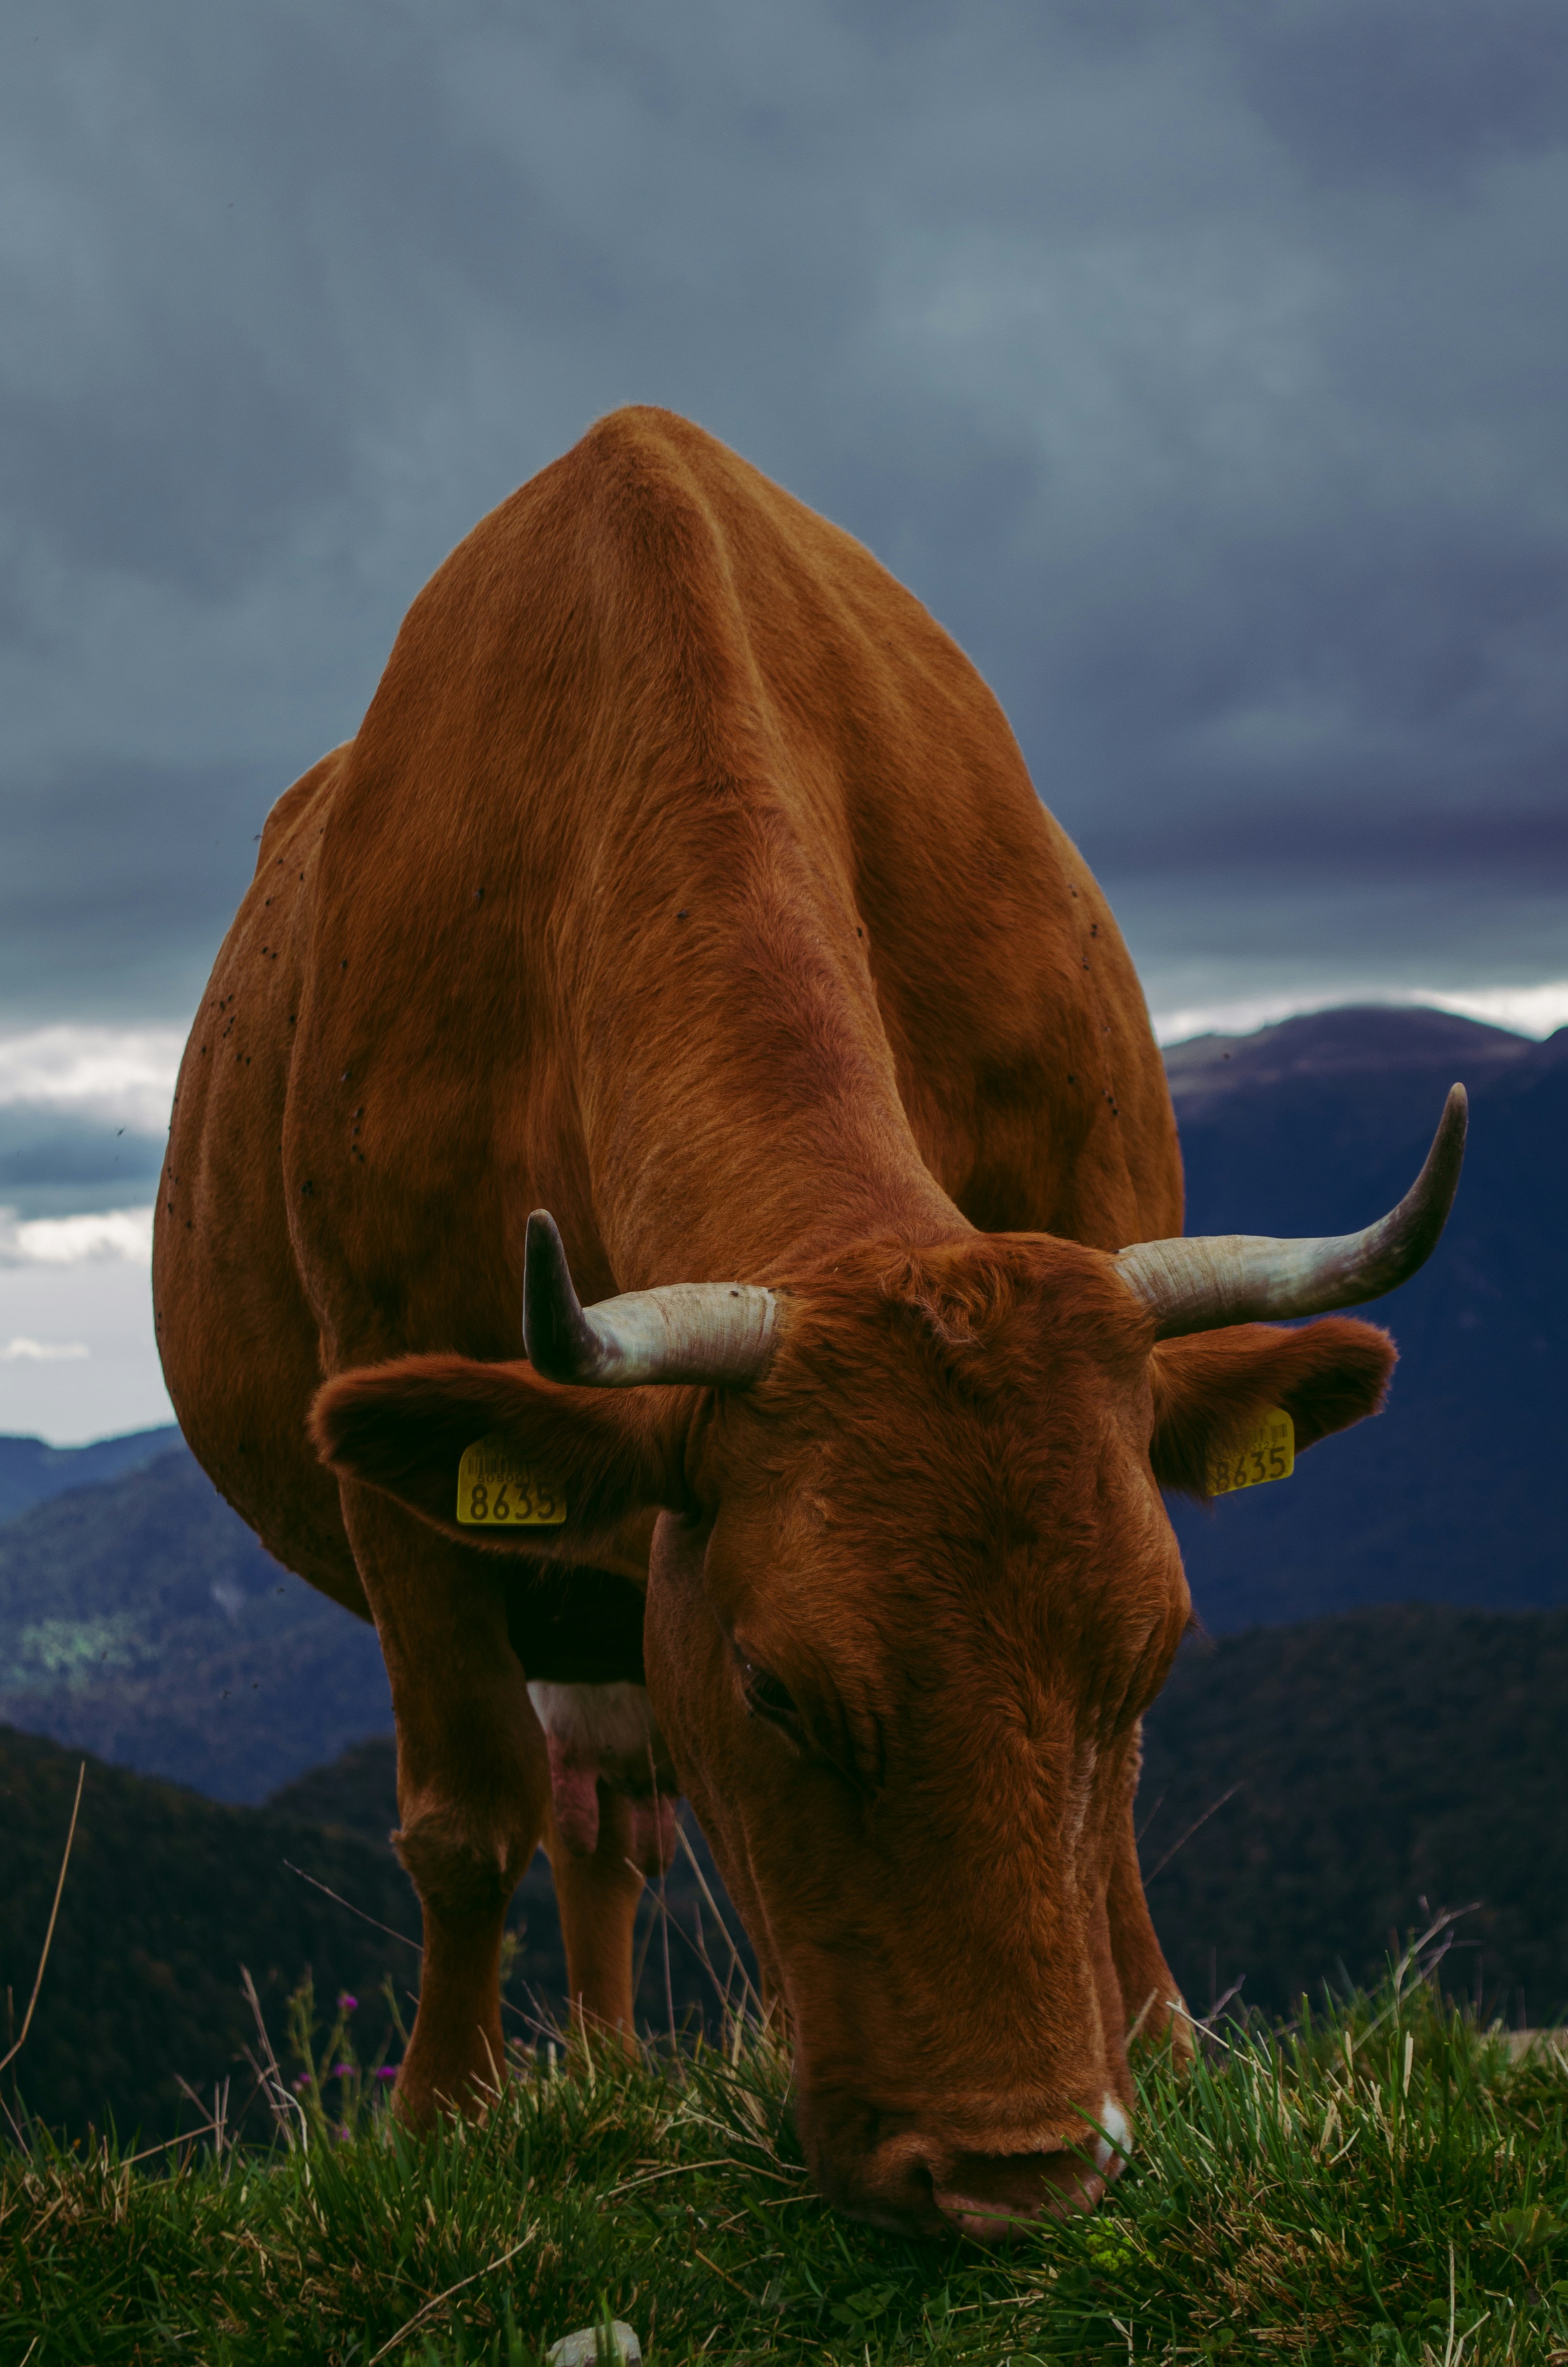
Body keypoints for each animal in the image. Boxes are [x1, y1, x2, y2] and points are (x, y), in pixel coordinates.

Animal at [154, 406, 1464, 2238]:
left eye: (1150, 1651)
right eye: (776, 1689)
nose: (1021, 2166)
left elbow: (1123, 1798)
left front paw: (1166, 2043)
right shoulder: (384, 1406)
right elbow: (462, 1810)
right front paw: (441, 2131)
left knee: (613, 1821)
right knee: (572, 1812)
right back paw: (581, 2081)